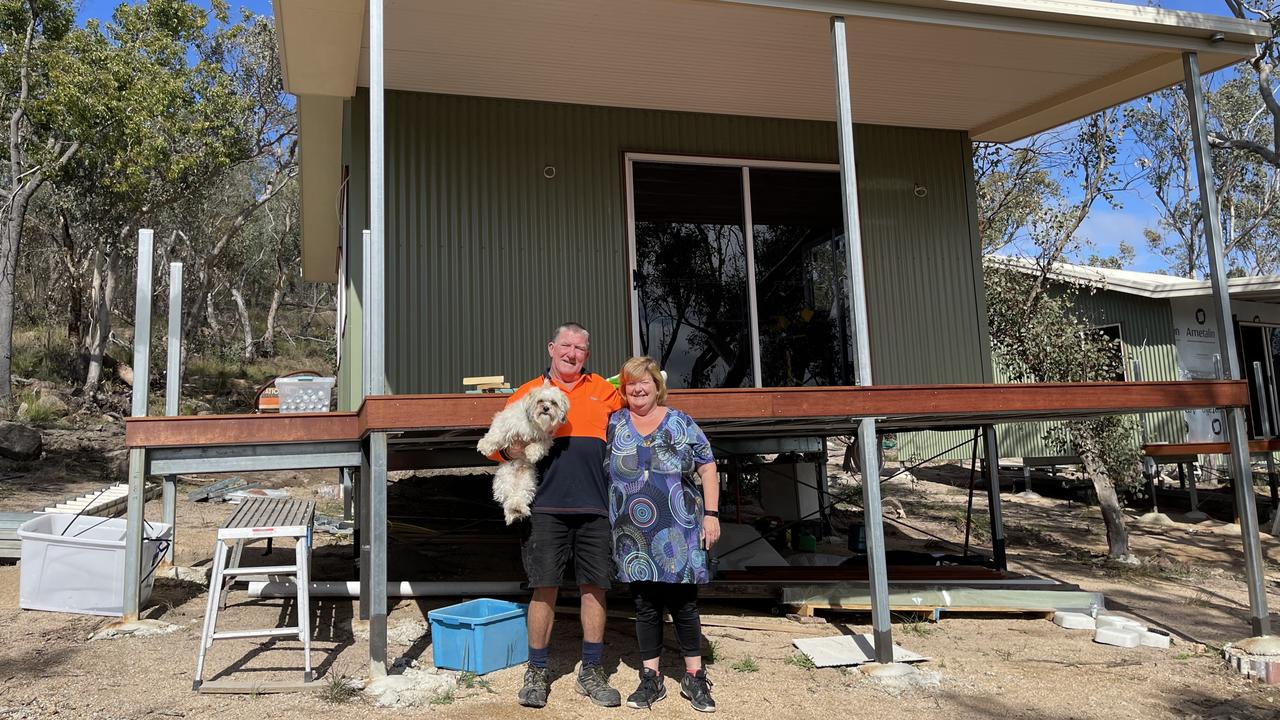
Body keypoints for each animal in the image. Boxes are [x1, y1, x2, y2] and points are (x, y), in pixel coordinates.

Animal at [478, 381, 568, 520]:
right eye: (540, 401)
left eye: (553, 403)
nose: (546, 408)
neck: (534, 424)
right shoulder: (506, 422)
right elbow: (497, 433)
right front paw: (485, 445)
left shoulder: (545, 438)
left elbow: (538, 446)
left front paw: (531, 454)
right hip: (504, 479)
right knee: (508, 496)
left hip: (528, 482)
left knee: (519, 496)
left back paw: (518, 508)